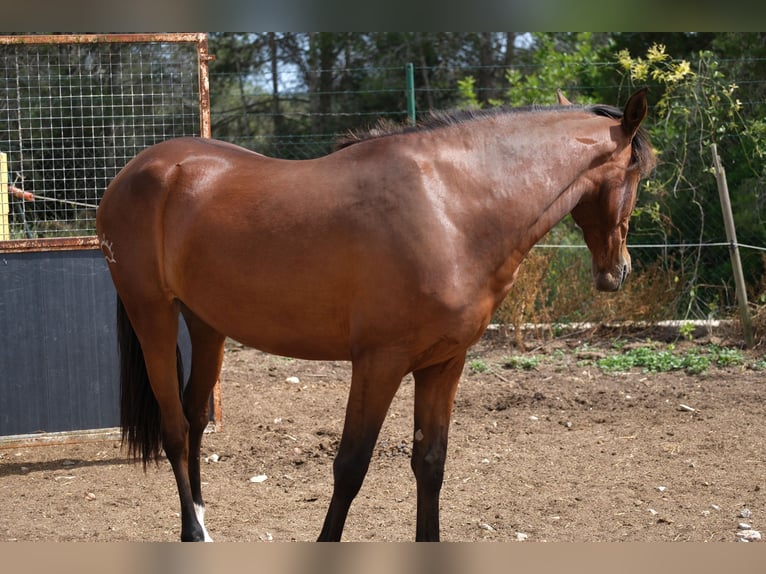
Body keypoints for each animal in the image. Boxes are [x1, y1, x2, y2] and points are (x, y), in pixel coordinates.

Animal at [97, 89, 656, 540]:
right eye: (637, 173)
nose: (618, 271)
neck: (451, 206)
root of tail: (138, 171)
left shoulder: (443, 364)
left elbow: (430, 464)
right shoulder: (379, 363)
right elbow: (350, 466)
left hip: (206, 324)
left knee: (194, 418)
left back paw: (201, 519)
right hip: (152, 315)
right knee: (174, 427)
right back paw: (192, 532)